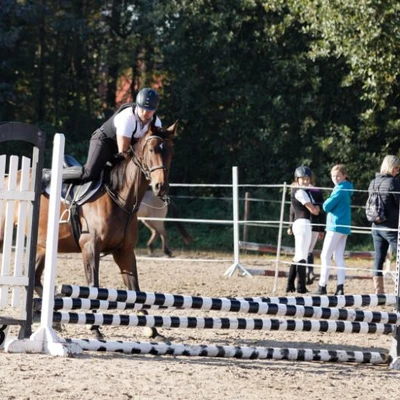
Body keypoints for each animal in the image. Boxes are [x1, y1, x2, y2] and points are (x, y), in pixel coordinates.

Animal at [0, 122, 175, 340]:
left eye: (170, 152)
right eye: (151, 150)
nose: (160, 187)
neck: (118, 196)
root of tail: (9, 177)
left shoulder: (125, 252)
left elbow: (135, 290)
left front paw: (152, 330)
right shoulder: (90, 247)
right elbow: (94, 287)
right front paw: (95, 327)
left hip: (42, 245)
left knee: (36, 278)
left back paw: (52, 318)